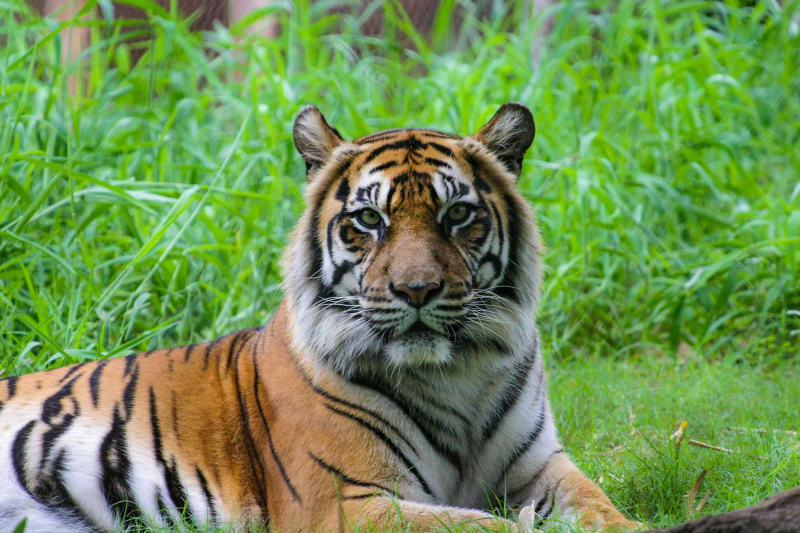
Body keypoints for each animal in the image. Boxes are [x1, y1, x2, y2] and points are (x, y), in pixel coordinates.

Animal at [0, 103, 636, 532]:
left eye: (457, 215)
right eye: (369, 220)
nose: (417, 290)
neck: (457, 375)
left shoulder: (542, 466)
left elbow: (601, 505)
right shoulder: (342, 503)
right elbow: (482, 524)